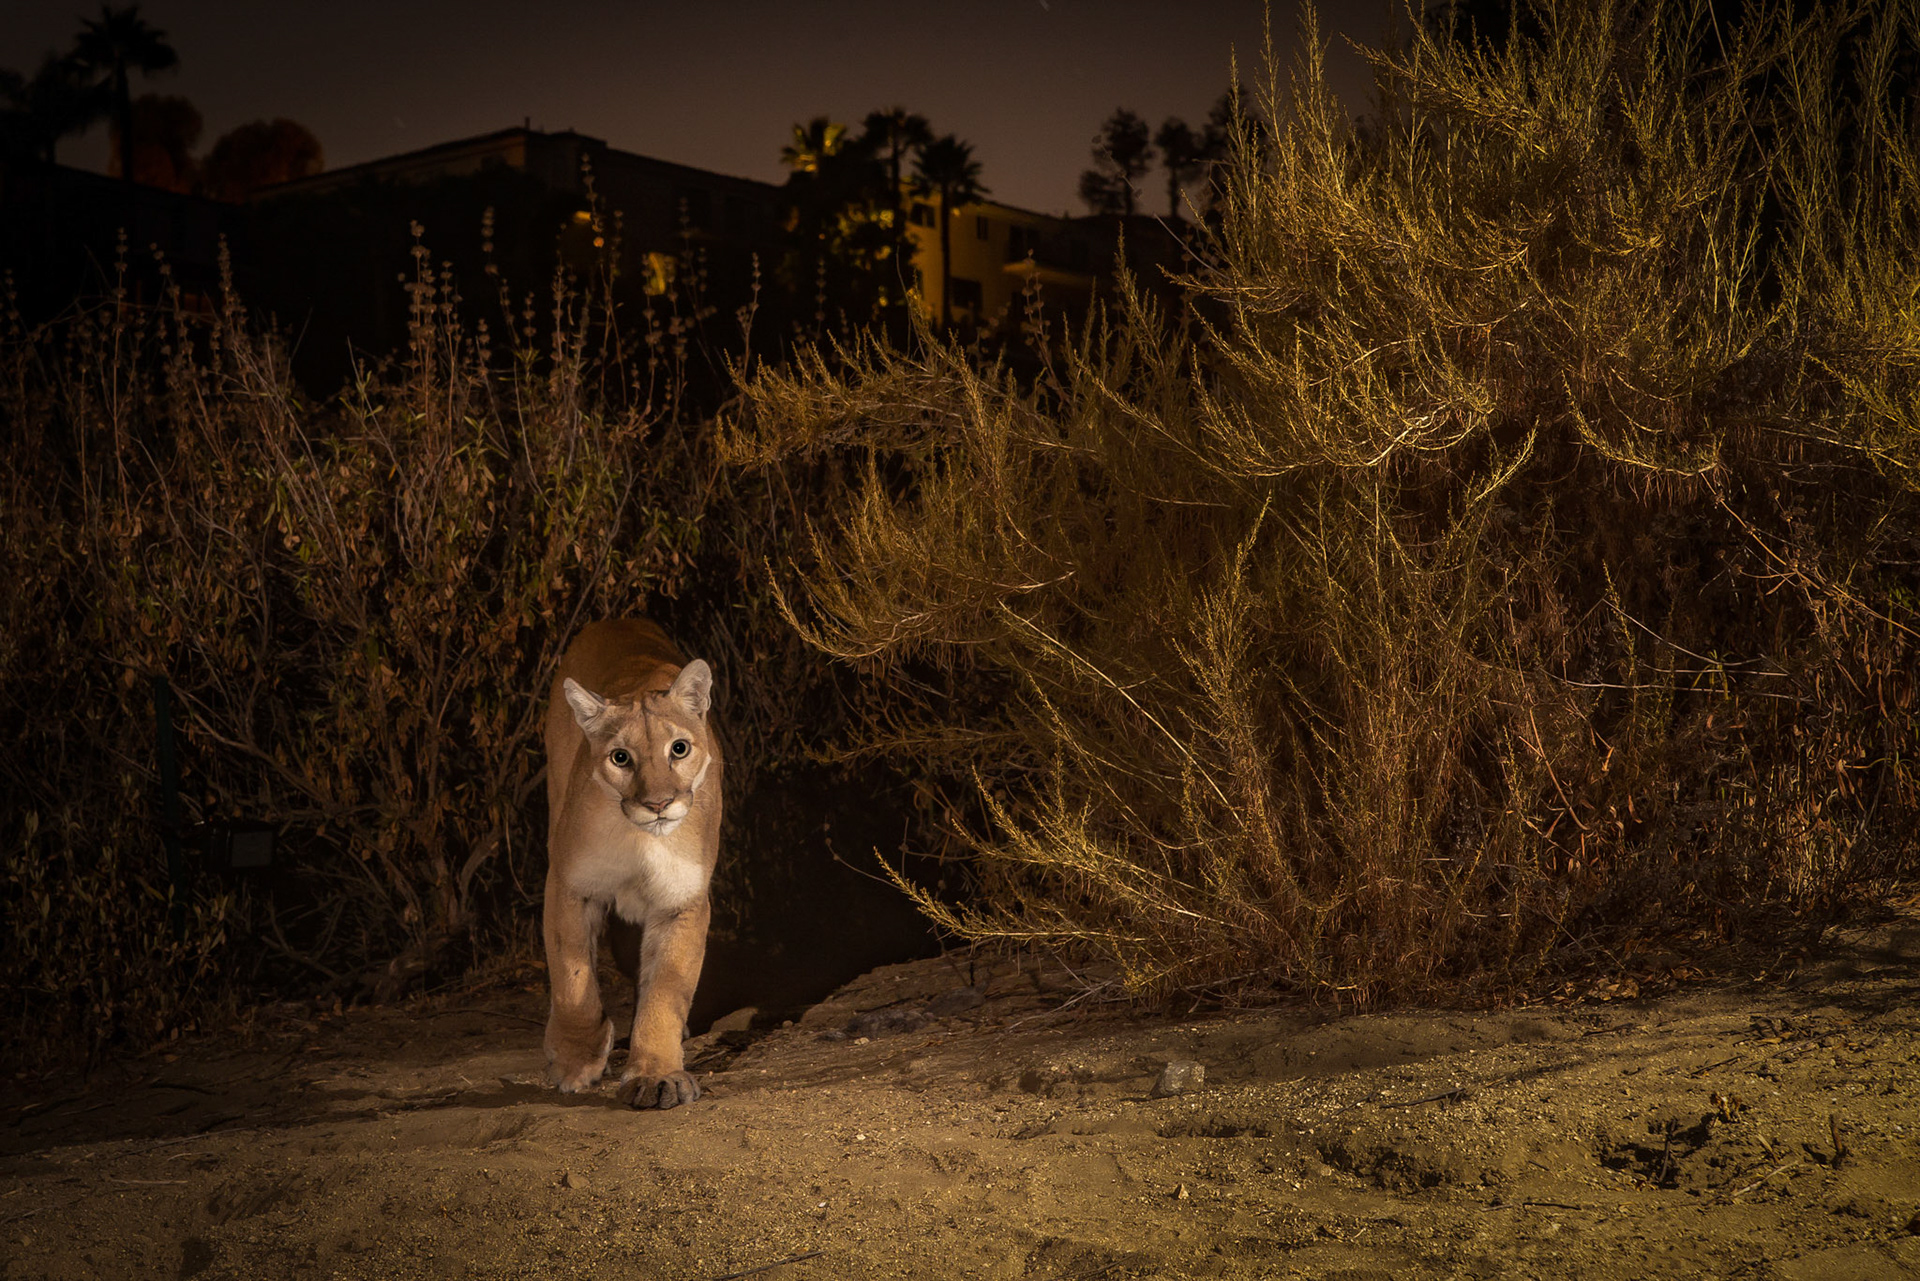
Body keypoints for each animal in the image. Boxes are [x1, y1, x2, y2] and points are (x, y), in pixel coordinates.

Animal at [542, 618, 722, 1108]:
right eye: (620, 757)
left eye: (679, 749)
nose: (658, 804)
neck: (641, 841)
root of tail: (617, 620)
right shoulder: (569, 884)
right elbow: (573, 981)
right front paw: (576, 1059)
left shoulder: (682, 901)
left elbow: (664, 992)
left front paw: (657, 1075)